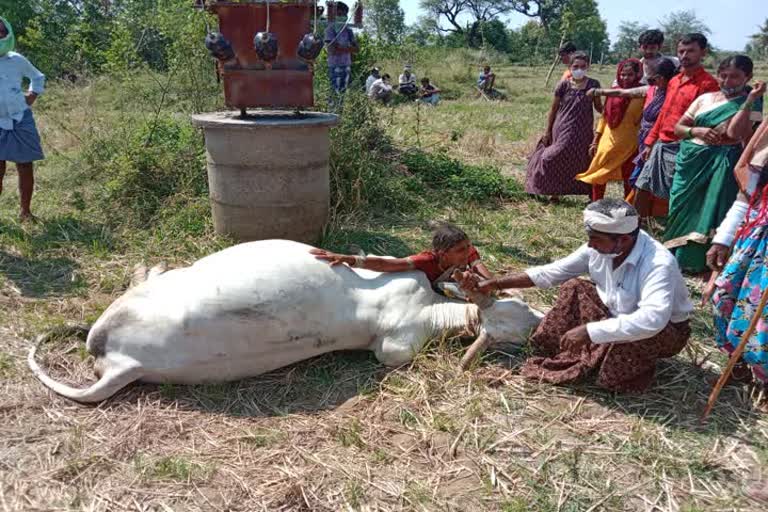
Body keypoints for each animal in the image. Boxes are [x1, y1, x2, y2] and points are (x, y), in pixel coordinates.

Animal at [28, 240, 540, 404]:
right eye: (517, 306)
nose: (542, 324)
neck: (431, 308)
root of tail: (120, 362)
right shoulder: (396, 335)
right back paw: (145, 268)